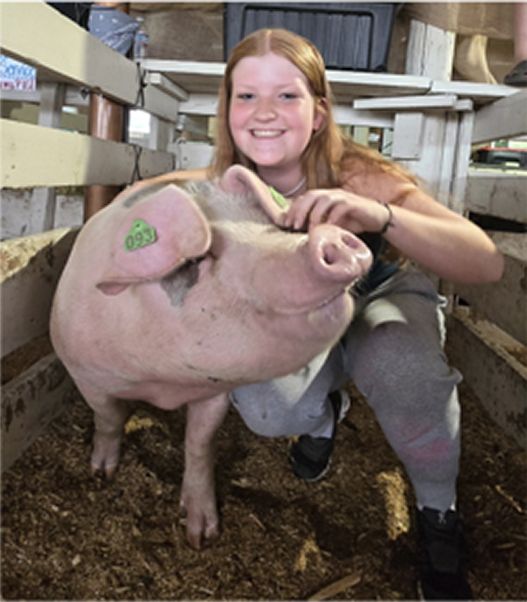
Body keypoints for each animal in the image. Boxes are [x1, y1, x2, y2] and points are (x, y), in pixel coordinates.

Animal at [50, 165, 372, 549]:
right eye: (195, 261)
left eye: (272, 226)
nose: (331, 237)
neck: (163, 382)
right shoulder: (84, 372)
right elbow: (109, 418)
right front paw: (102, 473)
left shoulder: (215, 392)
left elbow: (199, 443)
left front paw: (201, 536)